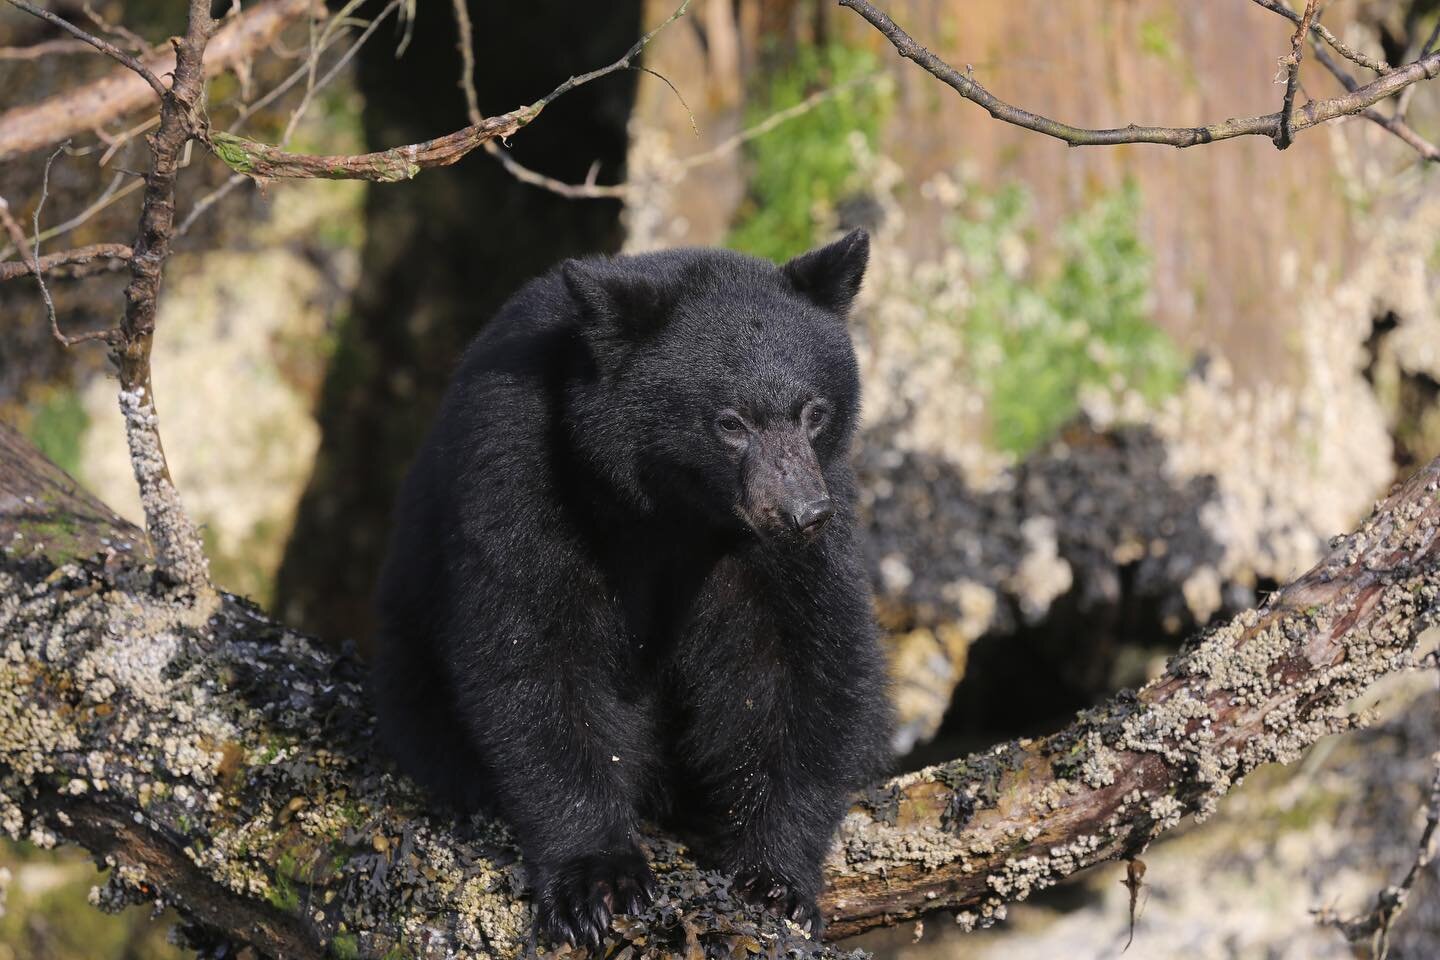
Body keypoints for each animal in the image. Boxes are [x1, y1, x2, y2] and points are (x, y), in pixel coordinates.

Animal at [371, 230, 887, 944]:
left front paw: (775, 877)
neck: (672, 509)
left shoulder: (798, 527)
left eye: (814, 411)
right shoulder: (523, 469)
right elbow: (534, 653)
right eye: (730, 422)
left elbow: (803, 660)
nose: (801, 514)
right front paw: (599, 879)